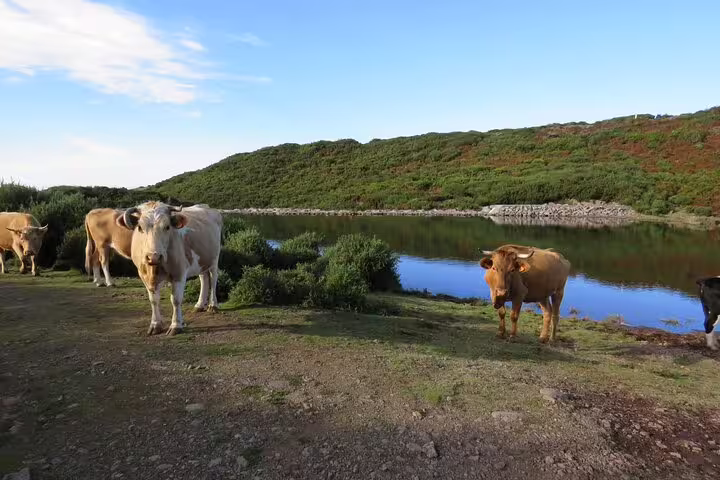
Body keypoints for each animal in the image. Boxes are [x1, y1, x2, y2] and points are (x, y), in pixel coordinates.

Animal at [117, 201, 223, 335]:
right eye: (140, 227)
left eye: (167, 227)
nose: (154, 256)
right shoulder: (144, 275)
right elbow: (154, 300)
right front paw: (155, 325)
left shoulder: (179, 273)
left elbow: (176, 300)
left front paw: (176, 325)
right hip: (201, 261)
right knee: (204, 278)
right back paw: (199, 305)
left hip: (214, 258)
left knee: (213, 279)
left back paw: (213, 305)